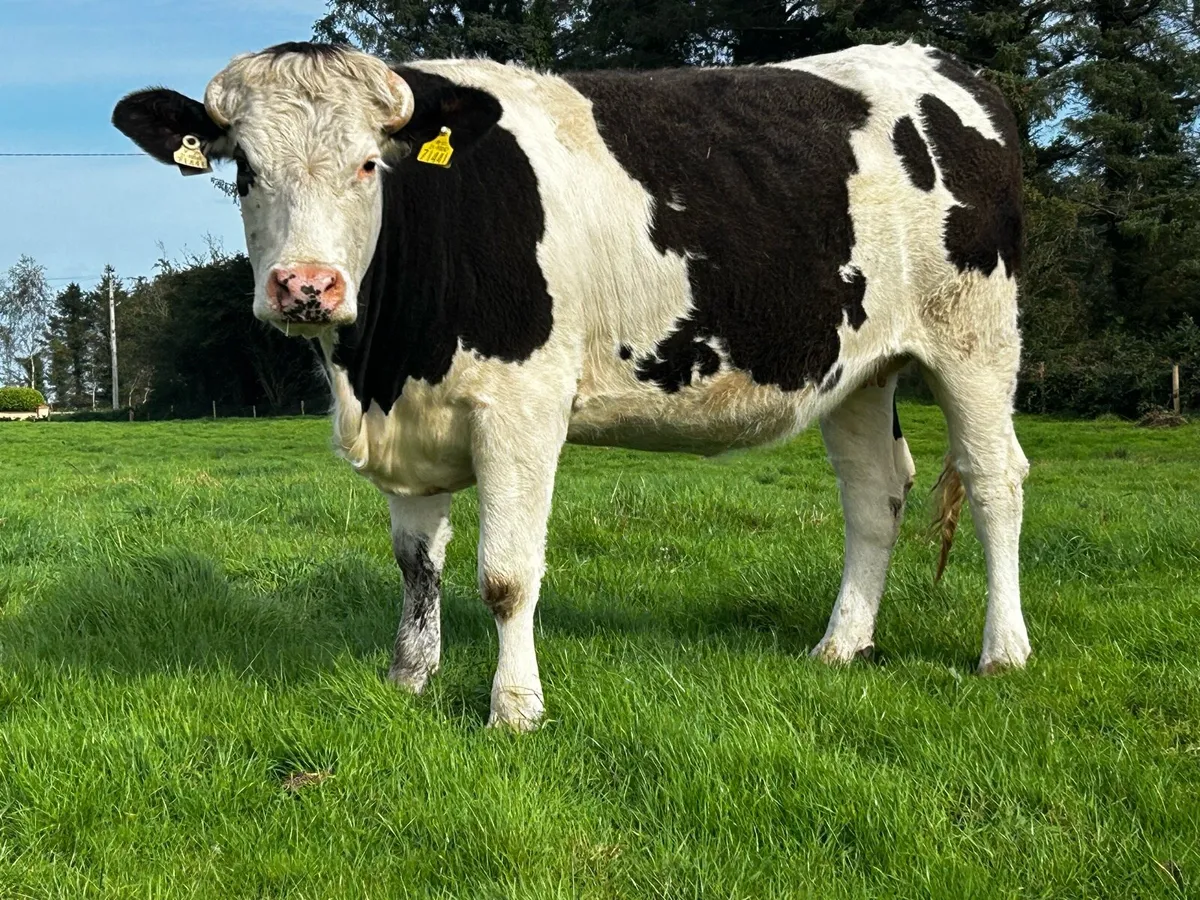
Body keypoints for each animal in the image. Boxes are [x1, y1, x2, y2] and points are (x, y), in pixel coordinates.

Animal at [112, 40, 1030, 730]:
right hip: (857, 368)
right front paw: (408, 679)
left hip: (975, 336)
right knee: (876, 494)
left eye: (370, 164)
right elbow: (416, 564)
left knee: (996, 481)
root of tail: (942, 65)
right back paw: (841, 647)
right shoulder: (411, 423)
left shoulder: (521, 407)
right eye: (243, 169)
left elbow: (506, 574)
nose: (307, 286)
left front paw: (514, 708)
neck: (378, 367)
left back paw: (1003, 651)